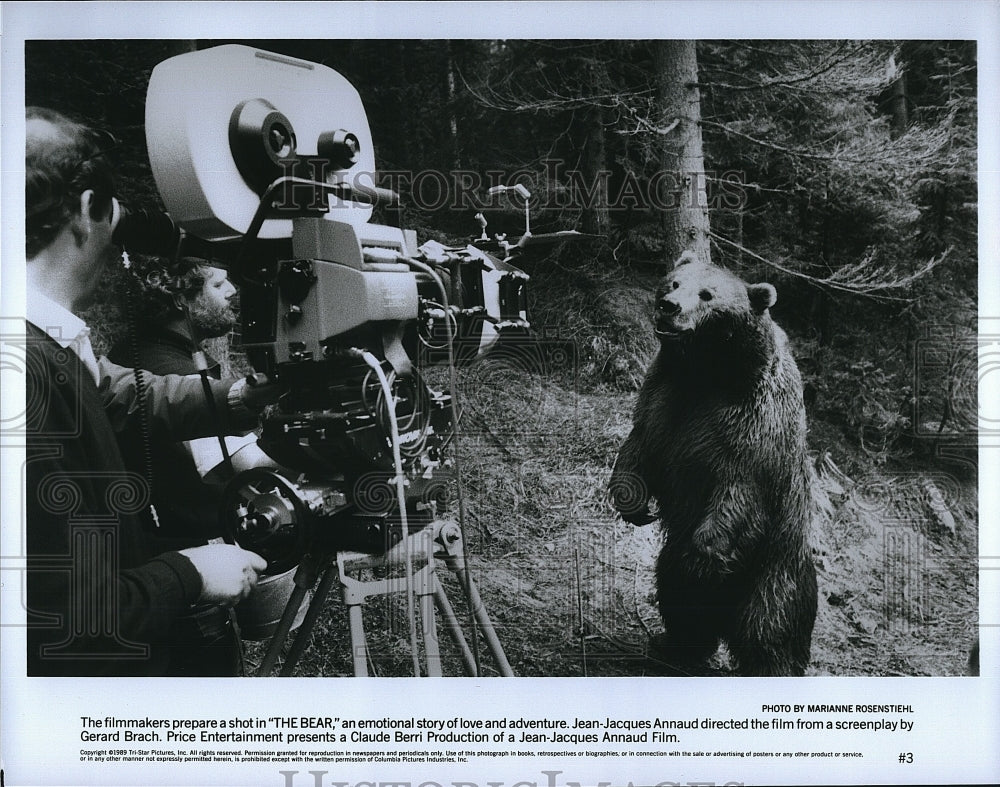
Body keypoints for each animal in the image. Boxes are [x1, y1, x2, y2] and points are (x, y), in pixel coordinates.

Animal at [608, 252, 820, 676]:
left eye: (707, 294)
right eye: (674, 282)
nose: (669, 306)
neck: (708, 373)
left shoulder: (749, 432)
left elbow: (737, 498)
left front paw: (704, 560)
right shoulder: (664, 399)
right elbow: (639, 448)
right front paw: (635, 505)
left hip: (775, 569)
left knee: (768, 625)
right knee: (677, 597)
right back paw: (674, 646)